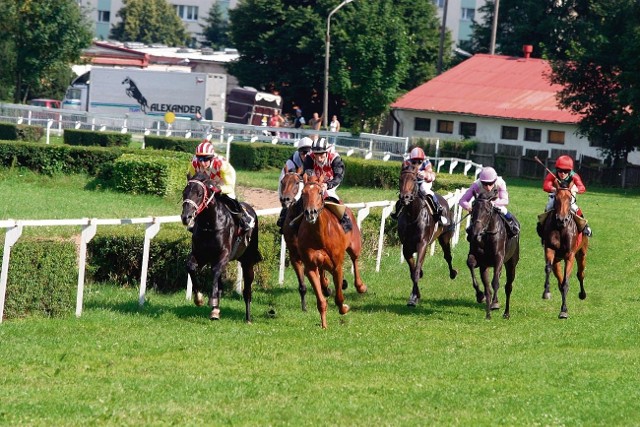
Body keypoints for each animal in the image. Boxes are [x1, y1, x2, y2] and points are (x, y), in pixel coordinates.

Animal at [179, 172, 262, 322]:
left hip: (248, 260)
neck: (209, 224)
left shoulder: (223, 255)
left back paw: (248, 318)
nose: (186, 217)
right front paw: (199, 298)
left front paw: (212, 302)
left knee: (247, 289)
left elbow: (216, 272)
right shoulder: (201, 255)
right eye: (184, 192)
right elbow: (191, 267)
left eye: (199, 194)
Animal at [296, 172, 364, 330]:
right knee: (323, 276)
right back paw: (326, 285)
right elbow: (321, 300)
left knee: (355, 259)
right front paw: (324, 324)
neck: (318, 236)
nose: (310, 213)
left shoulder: (337, 266)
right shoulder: (310, 267)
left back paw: (360, 286)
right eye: (303, 193)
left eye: (320, 192)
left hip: (354, 246)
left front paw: (344, 308)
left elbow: (339, 297)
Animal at [398, 164, 458, 308]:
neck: (413, 216)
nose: (405, 198)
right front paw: (415, 295)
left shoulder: (422, 245)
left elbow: (416, 271)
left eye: (414, 179)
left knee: (448, 256)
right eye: (400, 179)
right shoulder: (406, 247)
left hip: (445, 237)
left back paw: (453, 273)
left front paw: (413, 298)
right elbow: (413, 271)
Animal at [464, 189, 520, 320]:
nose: (475, 233)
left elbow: (495, 282)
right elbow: (471, 264)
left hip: (511, 263)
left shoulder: (499, 258)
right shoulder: (480, 261)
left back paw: (506, 313)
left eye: (487, 211)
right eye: (473, 210)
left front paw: (494, 303)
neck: (486, 235)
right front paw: (480, 296)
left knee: (508, 286)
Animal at [540, 182, 592, 320]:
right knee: (558, 279)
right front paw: (546, 292)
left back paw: (582, 294)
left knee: (580, 274)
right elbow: (548, 268)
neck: (561, 228)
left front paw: (563, 310)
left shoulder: (570, 255)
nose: (561, 219)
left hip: (582, 253)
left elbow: (566, 283)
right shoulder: (550, 249)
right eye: (556, 198)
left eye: (570, 199)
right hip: (558, 260)